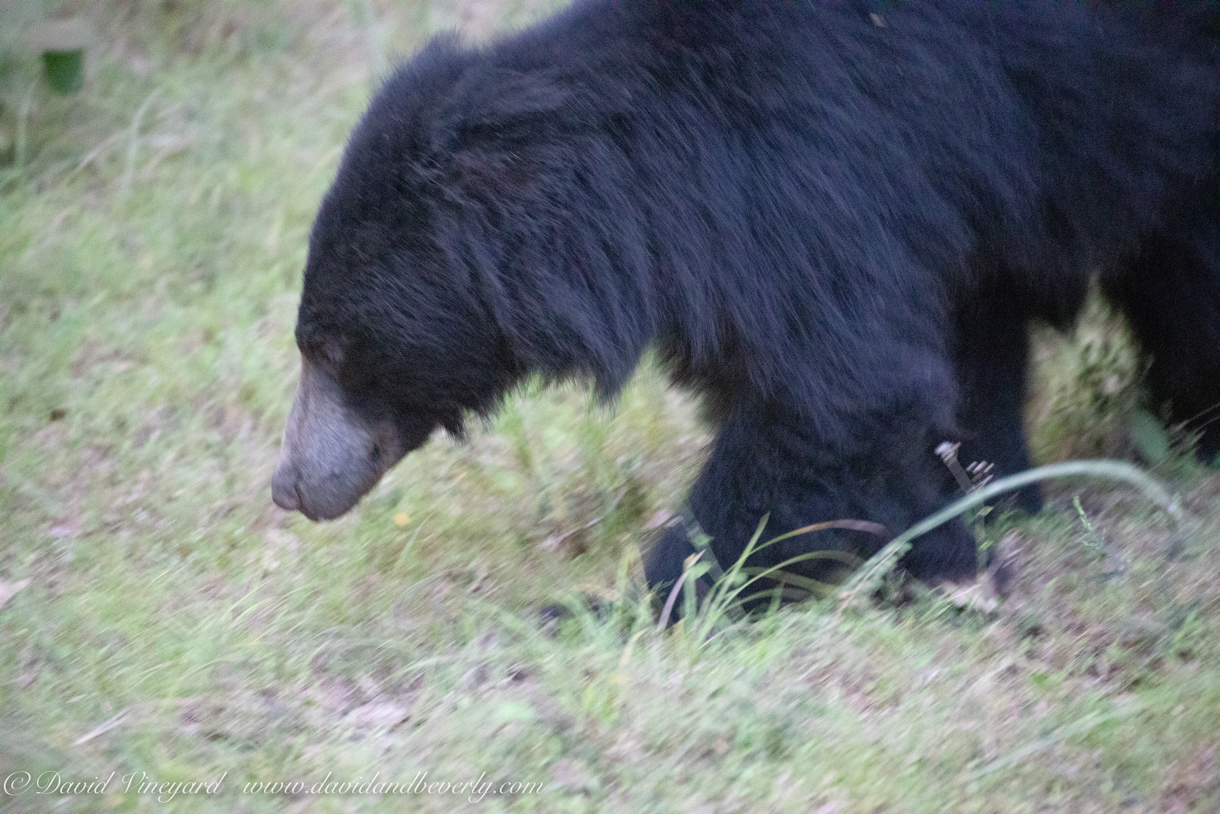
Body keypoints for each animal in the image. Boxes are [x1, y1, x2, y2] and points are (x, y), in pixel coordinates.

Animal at [269, 0, 1220, 597]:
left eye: (332, 350)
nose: (287, 486)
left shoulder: (803, 183)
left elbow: (838, 398)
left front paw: (619, 607)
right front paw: (955, 547)